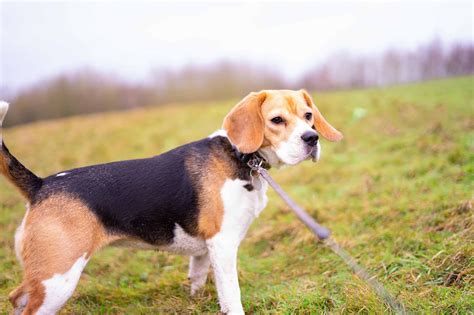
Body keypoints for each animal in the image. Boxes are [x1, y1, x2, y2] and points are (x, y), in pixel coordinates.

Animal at [0, 89, 340, 315]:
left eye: (308, 116)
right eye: (277, 120)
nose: (312, 139)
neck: (241, 156)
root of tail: (41, 184)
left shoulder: (206, 249)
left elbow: (198, 279)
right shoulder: (223, 244)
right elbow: (232, 294)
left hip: (46, 276)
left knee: (17, 297)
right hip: (58, 278)